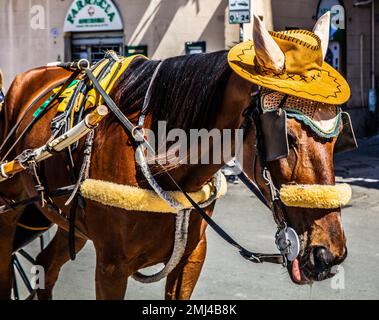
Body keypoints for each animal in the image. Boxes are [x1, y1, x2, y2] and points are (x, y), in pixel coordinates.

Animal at [0, 21, 350, 298]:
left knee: (46, 268)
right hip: (8, 207)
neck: (156, 161)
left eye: (338, 137)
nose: (328, 254)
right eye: (286, 137)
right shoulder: (111, 268)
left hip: (68, 222)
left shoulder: (191, 258)